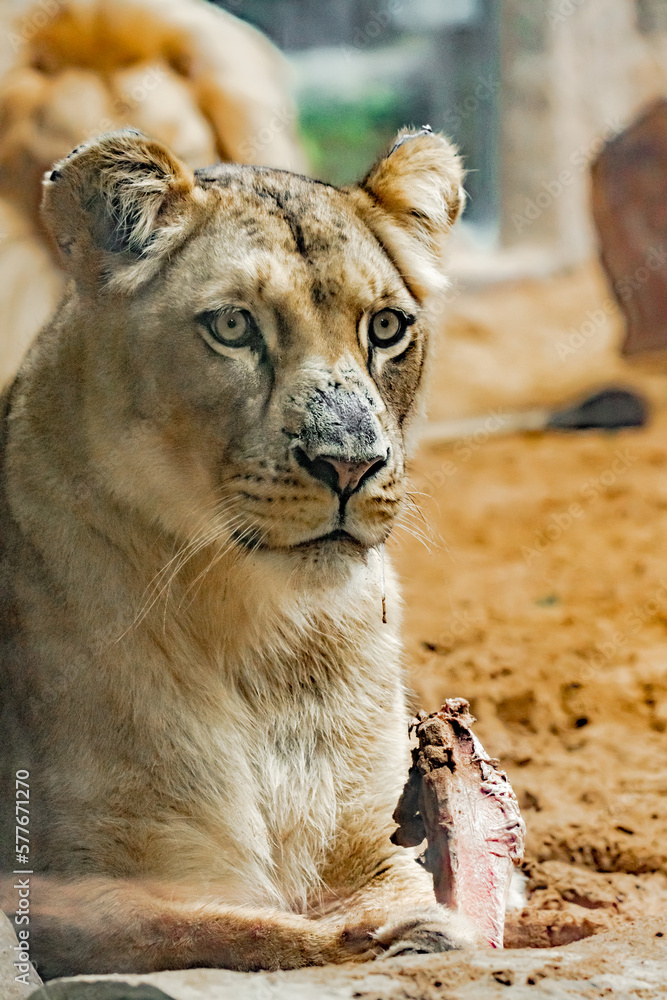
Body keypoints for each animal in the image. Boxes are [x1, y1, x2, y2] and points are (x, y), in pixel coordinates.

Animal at [0, 127, 468, 980]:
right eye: (232, 327)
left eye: (385, 329)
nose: (350, 464)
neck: (264, 634)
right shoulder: (60, 885)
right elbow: (222, 927)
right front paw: (404, 936)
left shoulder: (370, 840)